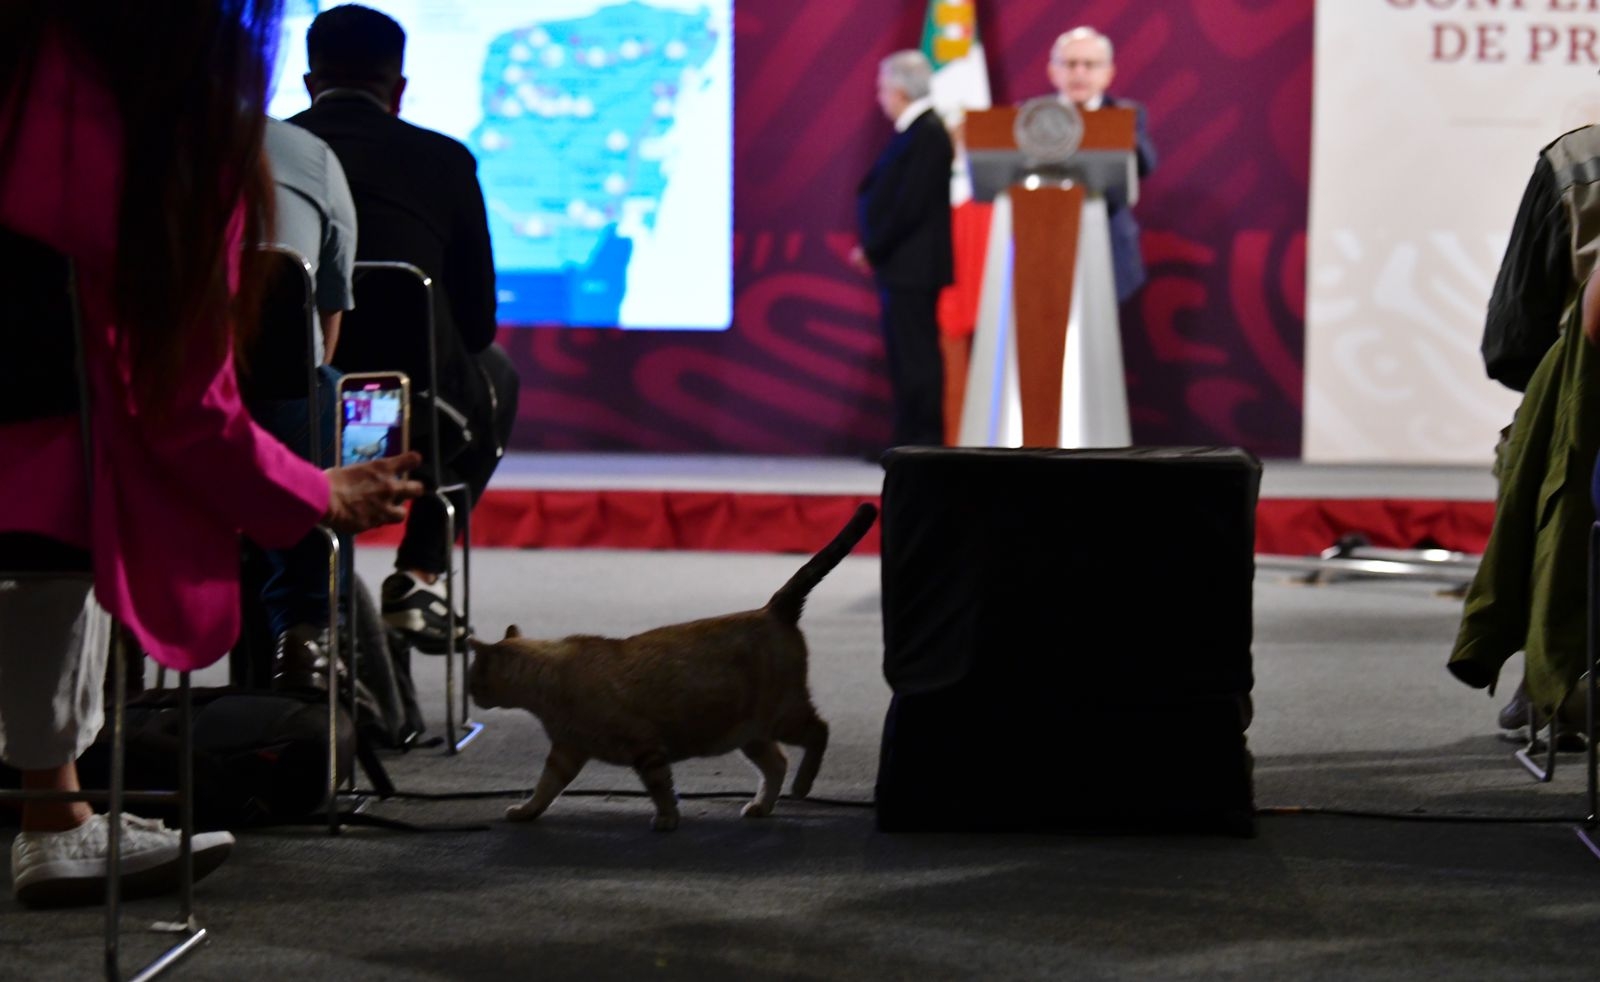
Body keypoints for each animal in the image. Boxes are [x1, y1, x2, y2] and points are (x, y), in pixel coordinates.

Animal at [467, 505, 883, 838]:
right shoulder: (566, 752)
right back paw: (762, 806)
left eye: (472, 677)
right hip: (750, 733)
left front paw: (667, 820)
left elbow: (661, 789)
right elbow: (544, 789)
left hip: (784, 715)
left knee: (819, 732)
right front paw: (525, 812)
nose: (469, 693)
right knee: (777, 763)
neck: (550, 685)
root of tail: (772, 608)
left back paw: (802, 786)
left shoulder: (645, 746)